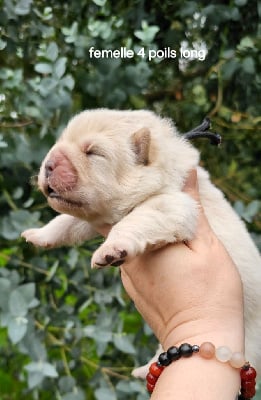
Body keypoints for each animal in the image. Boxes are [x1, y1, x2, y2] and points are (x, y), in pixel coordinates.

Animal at [21, 108, 260, 376]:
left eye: (93, 152)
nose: (48, 164)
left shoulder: (173, 205)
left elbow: (134, 221)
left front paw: (110, 250)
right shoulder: (93, 217)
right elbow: (66, 222)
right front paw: (39, 234)